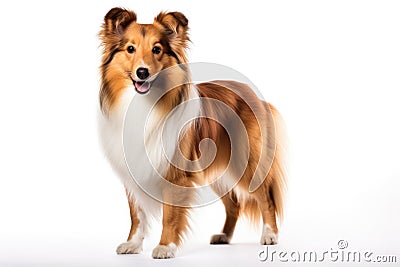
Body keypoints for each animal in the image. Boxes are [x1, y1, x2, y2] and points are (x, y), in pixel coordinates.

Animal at [100, 7, 288, 260]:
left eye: (157, 49)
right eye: (130, 49)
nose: (142, 72)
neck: (144, 103)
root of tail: (253, 94)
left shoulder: (175, 174)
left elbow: (170, 215)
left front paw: (165, 247)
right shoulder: (133, 170)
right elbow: (136, 214)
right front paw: (132, 244)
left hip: (247, 162)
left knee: (265, 197)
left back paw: (270, 235)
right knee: (234, 204)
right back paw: (224, 236)